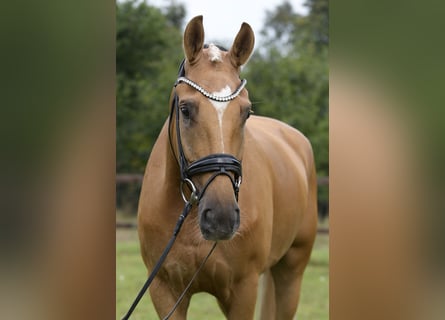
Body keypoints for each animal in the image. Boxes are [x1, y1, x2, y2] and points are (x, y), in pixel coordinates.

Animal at [137, 16, 318, 318]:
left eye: (246, 112)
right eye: (186, 110)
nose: (221, 217)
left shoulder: (243, 291)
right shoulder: (165, 291)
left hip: (291, 272)